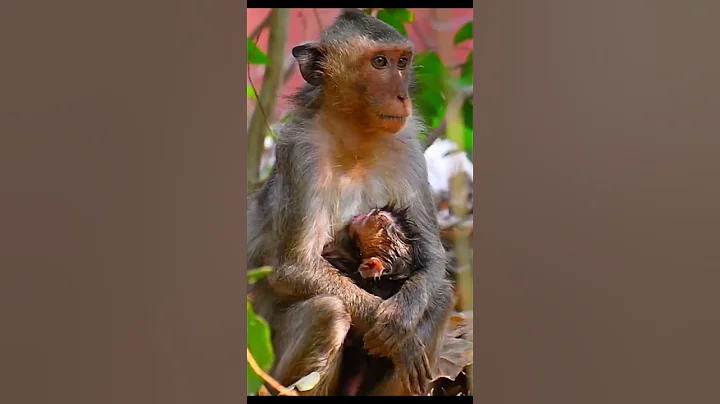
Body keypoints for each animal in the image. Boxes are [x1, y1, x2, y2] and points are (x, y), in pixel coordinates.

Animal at [247, 8, 454, 396]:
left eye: (402, 62)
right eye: (379, 62)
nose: (401, 95)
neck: (356, 139)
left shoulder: (408, 149)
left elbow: (433, 259)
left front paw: (401, 319)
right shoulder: (301, 152)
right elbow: (296, 268)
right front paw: (402, 338)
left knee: (442, 295)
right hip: (263, 366)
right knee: (328, 313)